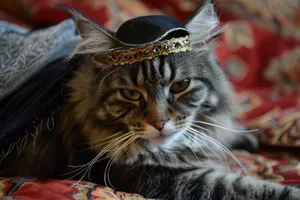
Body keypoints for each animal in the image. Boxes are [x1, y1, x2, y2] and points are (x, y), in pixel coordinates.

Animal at [0, 3, 300, 200]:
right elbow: (250, 187)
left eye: (180, 85)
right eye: (131, 94)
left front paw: (239, 136)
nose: (159, 123)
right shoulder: (164, 178)